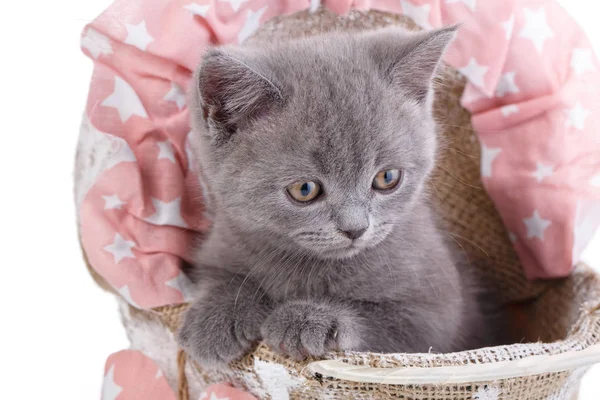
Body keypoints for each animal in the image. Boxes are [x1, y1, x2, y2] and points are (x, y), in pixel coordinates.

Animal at [177, 25, 502, 368]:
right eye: (304, 190)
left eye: (387, 178)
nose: (355, 229)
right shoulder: (221, 243)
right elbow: (223, 275)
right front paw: (214, 317)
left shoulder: (438, 311)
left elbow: (387, 324)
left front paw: (310, 319)